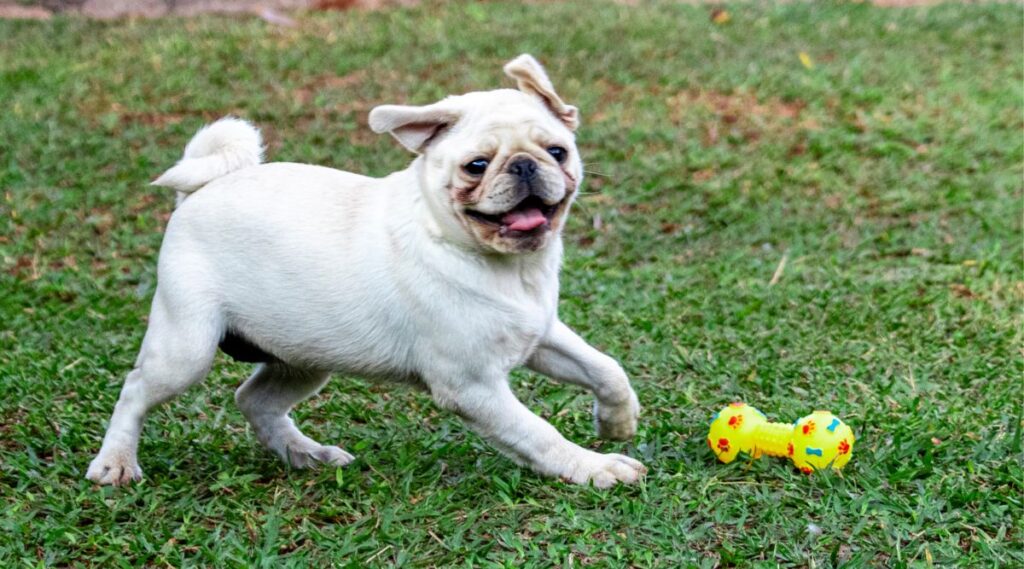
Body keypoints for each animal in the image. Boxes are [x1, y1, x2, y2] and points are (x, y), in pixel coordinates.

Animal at [90, 54, 647, 489]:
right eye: (476, 166)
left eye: (557, 152)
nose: (526, 166)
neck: (507, 266)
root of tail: (201, 189)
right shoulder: (471, 385)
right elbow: (538, 433)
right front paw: (595, 467)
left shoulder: (541, 335)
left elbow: (606, 368)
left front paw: (616, 422)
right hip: (187, 349)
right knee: (136, 389)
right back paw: (115, 463)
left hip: (304, 356)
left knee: (254, 400)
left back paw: (305, 454)